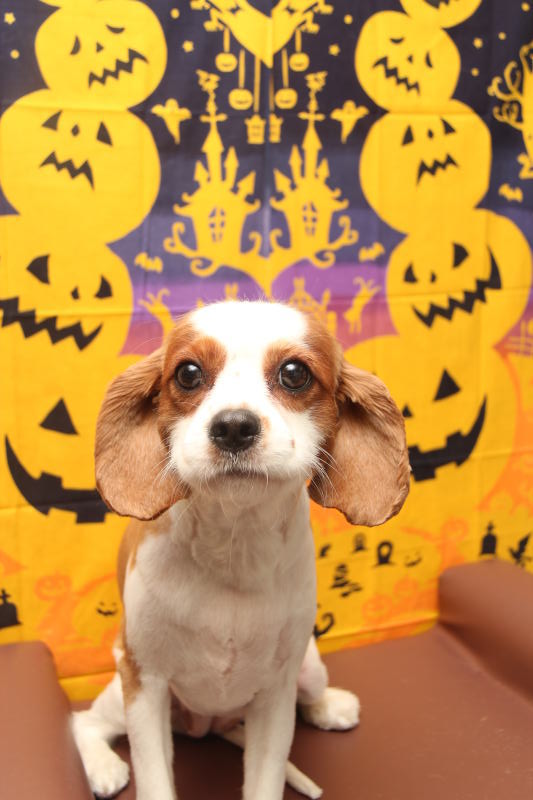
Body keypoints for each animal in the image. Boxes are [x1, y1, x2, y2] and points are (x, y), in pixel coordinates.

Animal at [72, 300, 409, 800]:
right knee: (84, 723)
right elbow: (154, 778)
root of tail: (210, 725)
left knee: (313, 695)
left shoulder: (276, 693)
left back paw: (332, 707)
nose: (233, 426)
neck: (235, 542)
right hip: (121, 690)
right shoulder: (145, 682)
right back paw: (103, 768)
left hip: (308, 667)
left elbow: (266, 777)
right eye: (188, 374)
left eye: (295, 373)